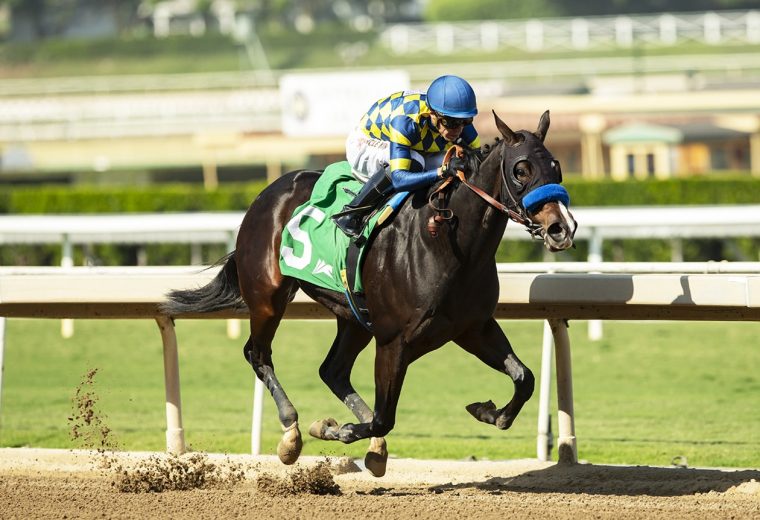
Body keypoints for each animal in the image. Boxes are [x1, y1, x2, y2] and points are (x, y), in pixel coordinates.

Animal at [160, 109, 576, 476]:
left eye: (556, 167)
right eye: (521, 170)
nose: (562, 228)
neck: (447, 241)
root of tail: (266, 194)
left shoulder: (472, 327)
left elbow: (524, 377)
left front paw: (488, 411)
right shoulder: (394, 341)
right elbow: (382, 418)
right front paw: (334, 428)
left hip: (354, 316)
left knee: (332, 370)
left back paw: (370, 449)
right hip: (268, 298)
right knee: (258, 354)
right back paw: (292, 434)